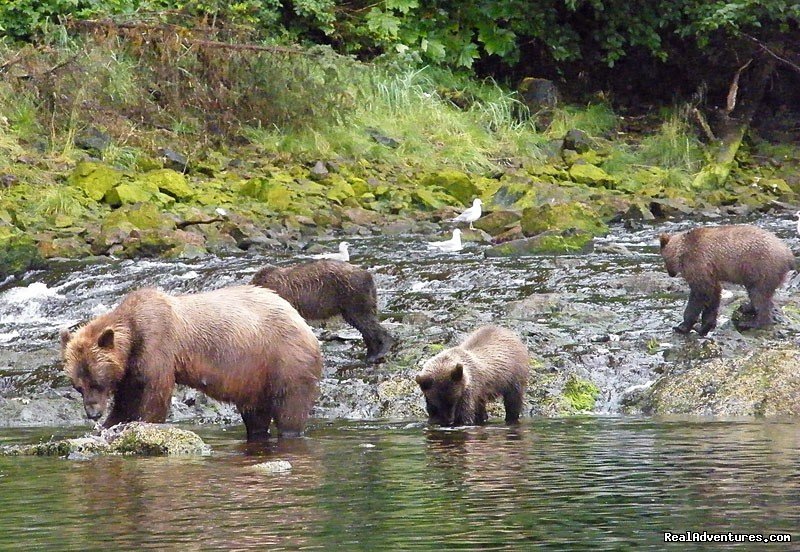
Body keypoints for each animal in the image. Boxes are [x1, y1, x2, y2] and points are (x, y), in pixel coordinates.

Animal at [60, 286, 322, 442]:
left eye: (97, 381)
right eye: (78, 386)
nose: (92, 413)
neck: (132, 336)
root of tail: (304, 324)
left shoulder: (157, 347)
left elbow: (153, 395)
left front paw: (141, 424)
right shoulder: (130, 370)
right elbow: (126, 400)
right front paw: (109, 426)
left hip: (283, 360)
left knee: (290, 408)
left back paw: (290, 431)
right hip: (254, 378)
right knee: (255, 413)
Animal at [664, 225, 792, 336]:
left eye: (664, 260)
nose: (670, 274)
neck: (681, 251)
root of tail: (788, 254)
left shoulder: (697, 263)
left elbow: (699, 294)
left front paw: (682, 326)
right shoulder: (711, 273)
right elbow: (713, 294)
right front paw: (704, 327)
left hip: (761, 268)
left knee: (759, 295)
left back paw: (751, 323)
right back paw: (746, 307)